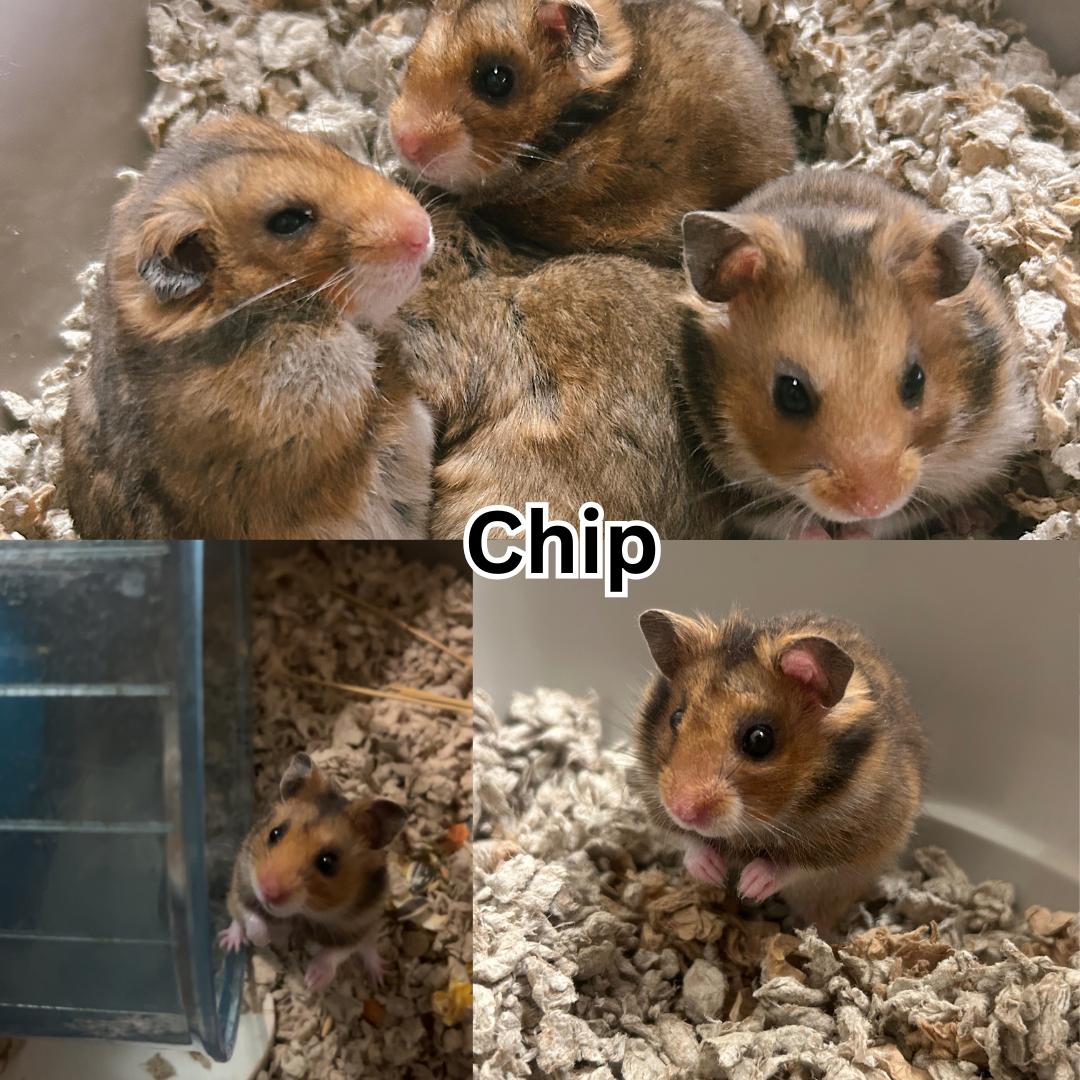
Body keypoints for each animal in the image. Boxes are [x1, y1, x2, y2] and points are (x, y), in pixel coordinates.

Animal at [219, 752, 407, 993]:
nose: (268, 891)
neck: (302, 913)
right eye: (274, 833)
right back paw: (229, 942)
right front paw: (264, 940)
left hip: (371, 925)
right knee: (235, 917)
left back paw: (380, 976)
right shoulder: (243, 881)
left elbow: (335, 953)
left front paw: (312, 980)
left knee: (368, 947)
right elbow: (250, 917)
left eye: (328, 862)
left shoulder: (357, 924)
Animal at [632, 608, 928, 934]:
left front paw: (749, 885)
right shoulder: (656, 801)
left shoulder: (848, 844)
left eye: (760, 740)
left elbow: (790, 866)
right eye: (675, 717)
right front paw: (713, 872)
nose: (682, 810)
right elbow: (689, 842)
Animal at [678, 168, 1033, 538]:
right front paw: (823, 535)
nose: (872, 503)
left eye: (915, 380)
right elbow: (790, 522)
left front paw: (855, 532)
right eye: (790, 394)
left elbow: (898, 515)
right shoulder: (740, 492)